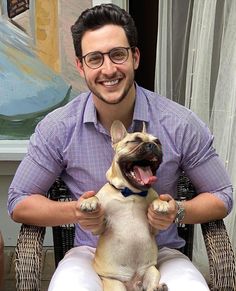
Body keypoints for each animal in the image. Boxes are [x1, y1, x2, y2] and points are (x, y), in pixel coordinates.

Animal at [80, 121, 169, 291]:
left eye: (158, 141)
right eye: (135, 140)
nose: (152, 145)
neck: (131, 193)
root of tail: (133, 284)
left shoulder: (154, 226)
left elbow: (156, 199)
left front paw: (161, 203)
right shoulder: (100, 226)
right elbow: (96, 202)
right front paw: (89, 201)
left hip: (151, 271)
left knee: (151, 283)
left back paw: (158, 288)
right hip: (115, 284)